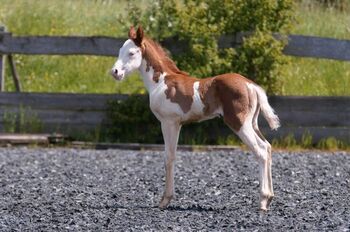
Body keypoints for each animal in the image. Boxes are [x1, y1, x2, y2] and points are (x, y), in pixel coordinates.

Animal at [110, 26, 280, 211]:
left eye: (132, 53)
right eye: (120, 51)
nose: (115, 72)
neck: (161, 82)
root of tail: (251, 85)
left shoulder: (169, 122)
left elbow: (169, 157)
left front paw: (165, 200)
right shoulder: (177, 124)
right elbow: (172, 156)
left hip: (239, 123)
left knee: (261, 151)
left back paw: (263, 200)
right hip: (252, 123)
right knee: (268, 147)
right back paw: (270, 197)